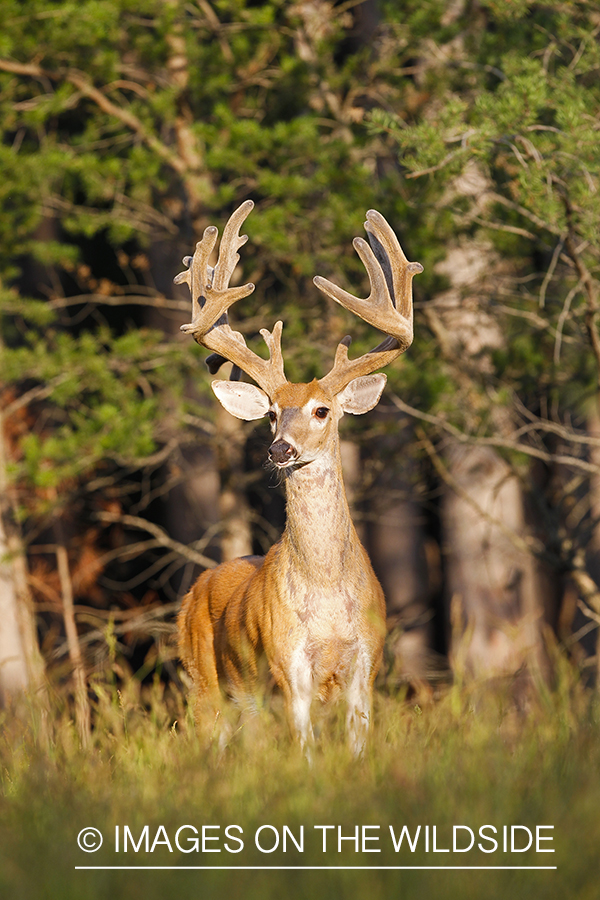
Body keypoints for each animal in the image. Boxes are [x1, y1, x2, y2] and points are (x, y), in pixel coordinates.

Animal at [177, 200, 422, 756]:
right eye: (270, 413)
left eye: (321, 410)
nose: (279, 449)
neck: (327, 598)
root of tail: (197, 586)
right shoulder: (289, 666)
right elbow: (305, 751)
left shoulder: (366, 665)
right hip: (202, 680)